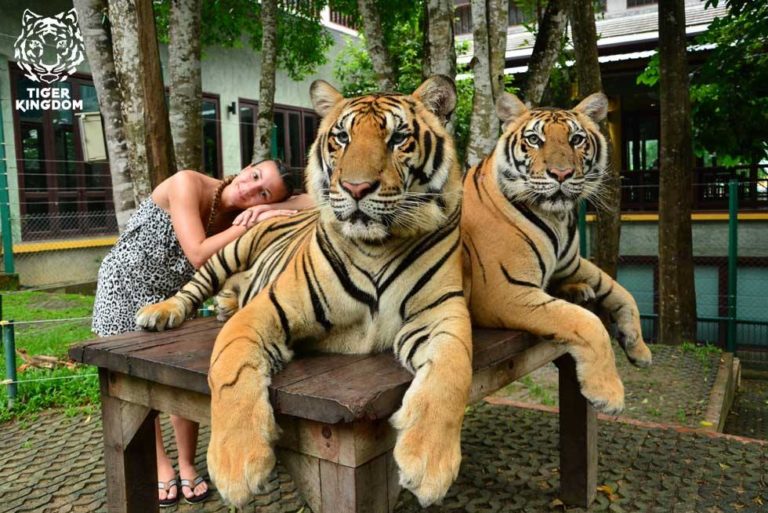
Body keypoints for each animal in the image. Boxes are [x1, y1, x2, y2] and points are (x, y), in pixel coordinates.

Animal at [136, 76, 472, 509]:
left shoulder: (440, 313)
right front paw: (236, 465)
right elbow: (230, 372)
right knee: (195, 285)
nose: (356, 187)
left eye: (398, 138)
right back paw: (160, 312)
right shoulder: (268, 308)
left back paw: (224, 304)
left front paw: (430, 463)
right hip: (232, 249)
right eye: (342, 137)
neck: (377, 247)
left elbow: (452, 374)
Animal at [461, 92, 652, 415]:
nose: (561, 174)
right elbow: (586, 322)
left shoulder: (571, 263)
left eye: (576, 139)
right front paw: (608, 394)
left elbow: (622, 292)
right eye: (534, 139)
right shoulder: (506, 291)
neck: (558, 218)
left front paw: (639, 348)